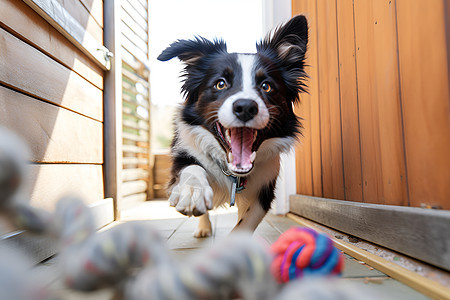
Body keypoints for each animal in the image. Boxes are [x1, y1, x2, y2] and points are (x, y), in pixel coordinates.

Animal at [156, 15, 308, 237]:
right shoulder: (185, 153)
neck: (234, 173)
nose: (245, 107)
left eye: (266, 86)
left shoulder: (264, 189)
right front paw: (193, 192)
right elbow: (192, 168)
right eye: (220, 84)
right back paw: (203, 228)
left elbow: (244, 224)